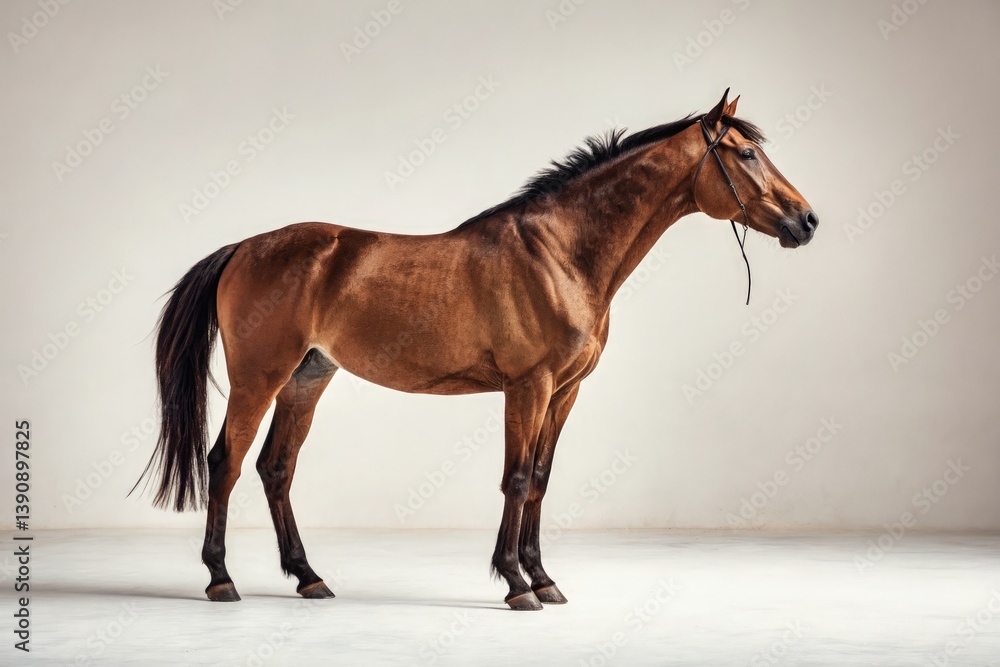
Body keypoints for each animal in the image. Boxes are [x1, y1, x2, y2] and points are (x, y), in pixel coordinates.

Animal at [135, 89, 818, 610]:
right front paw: (516, 585)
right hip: (260, 376)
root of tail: (242, 248)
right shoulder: (529, 386)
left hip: (308, 376)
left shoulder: (565, 391)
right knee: (224, 462)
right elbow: (515, 480)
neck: (561, 254)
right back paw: (221, 580)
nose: (807, 221)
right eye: (748, 153)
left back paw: (310, 578)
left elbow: (540, 479)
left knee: (276, 468)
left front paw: (545, 579)